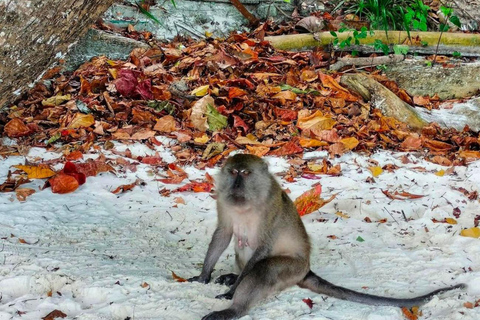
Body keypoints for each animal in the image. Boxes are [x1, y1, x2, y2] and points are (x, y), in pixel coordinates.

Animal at [188, 154, 464, 318]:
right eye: (233, 172)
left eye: (245, 174)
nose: (236, 185)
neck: (246, 203)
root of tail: (306, 269)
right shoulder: (223, 200)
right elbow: (223, 233)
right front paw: (204, 276)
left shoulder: (269, 206)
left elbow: (263, 248)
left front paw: (233, 292)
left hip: (293, 269)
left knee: (263, 269)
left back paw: (235, 308)